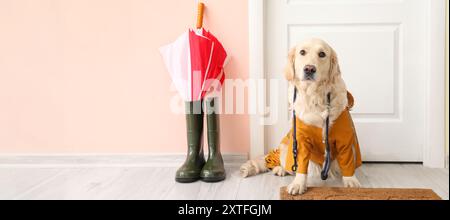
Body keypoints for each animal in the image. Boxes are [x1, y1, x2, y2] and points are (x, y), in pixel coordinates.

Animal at [241, 38, 364, 195]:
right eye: (302, 52)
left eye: (322, 54)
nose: (309, 69)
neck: (315, 97)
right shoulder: (300, 140)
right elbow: (301, 165)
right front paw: (298, 184)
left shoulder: (345, 138)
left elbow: (347, 161)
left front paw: (351, 181)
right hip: (286, 147)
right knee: (286, 164)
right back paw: (280, 169)